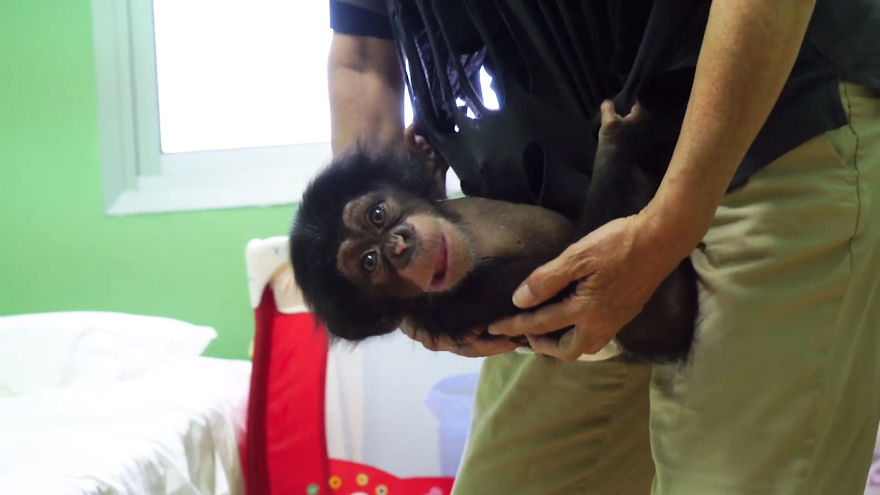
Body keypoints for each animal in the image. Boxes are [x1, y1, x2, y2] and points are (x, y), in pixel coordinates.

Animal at [289, 100, 697, 363]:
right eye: (370, 263)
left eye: (377, 215)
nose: (398, 243)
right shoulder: (473, 300)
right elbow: (579, 262)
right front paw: (616, 137)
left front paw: (423, 149)